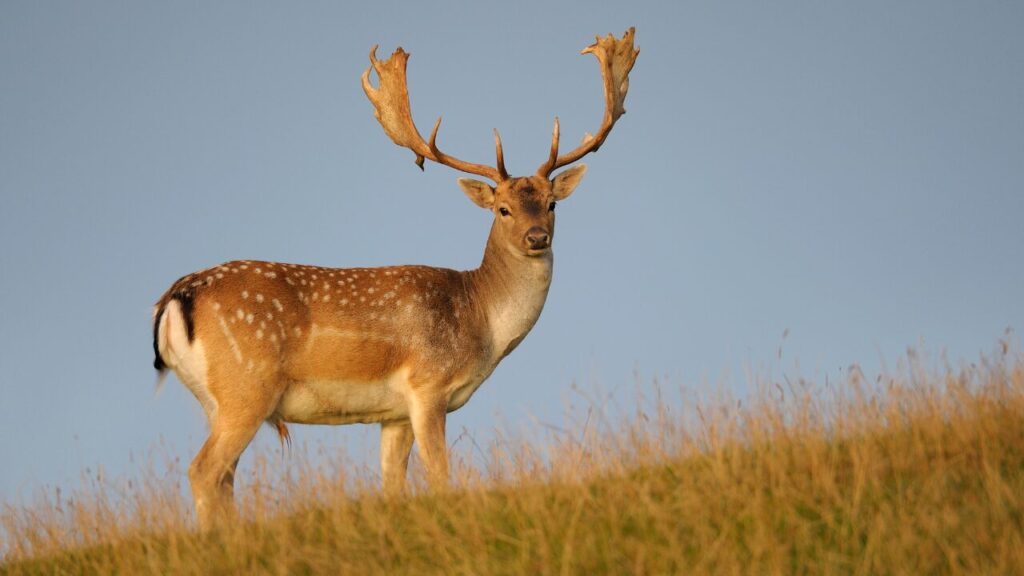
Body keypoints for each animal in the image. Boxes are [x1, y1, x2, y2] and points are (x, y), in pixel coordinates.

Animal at [151, 28, 638, 529]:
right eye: (502, 209)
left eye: (551, 203)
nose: (537, 236)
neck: (481, 321)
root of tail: (175, 297)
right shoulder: (427, 387)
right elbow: (440, 476)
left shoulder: (394, 414)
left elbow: (392, 486)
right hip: (246, 387)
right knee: (204, 470)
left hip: (215, 400)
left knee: (224, 477)